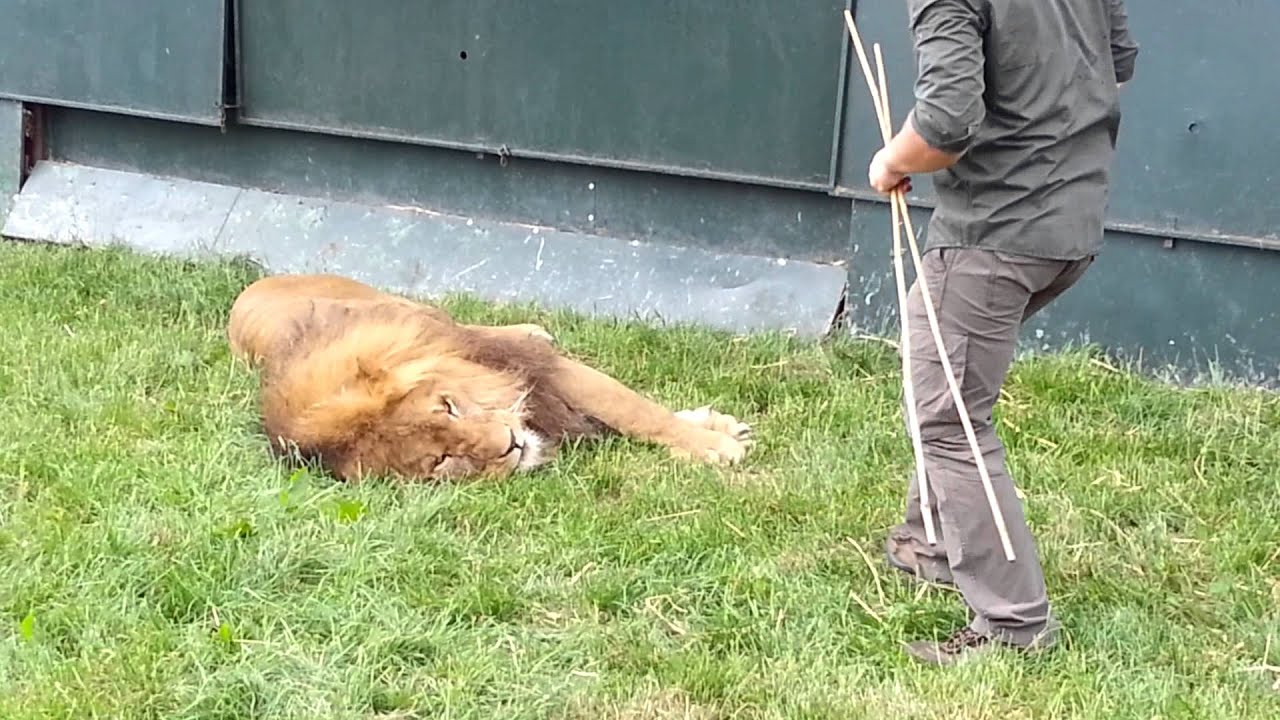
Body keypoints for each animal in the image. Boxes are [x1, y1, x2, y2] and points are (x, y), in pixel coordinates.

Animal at [226, 273, 755, 482]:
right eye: (441, 459)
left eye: (448, 405)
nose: (510, 445)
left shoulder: (536, 370)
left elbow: (636, 411)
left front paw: (715, 443)